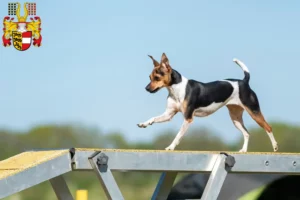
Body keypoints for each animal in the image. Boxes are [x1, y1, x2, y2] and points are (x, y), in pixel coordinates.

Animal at [137, 52, 278, 152]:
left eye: (157, 78)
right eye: (149, 77)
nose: (146, 88)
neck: (176, 89)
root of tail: (244, 81)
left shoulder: (188, 118)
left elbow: (178, 135)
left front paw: (171, 147)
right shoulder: (168, 115)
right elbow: (153, 118)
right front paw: (144, 124)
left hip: (254, 111)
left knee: (268, 127)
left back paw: (275, 147)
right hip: (235, 117)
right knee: (247, 133)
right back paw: (243, 150)